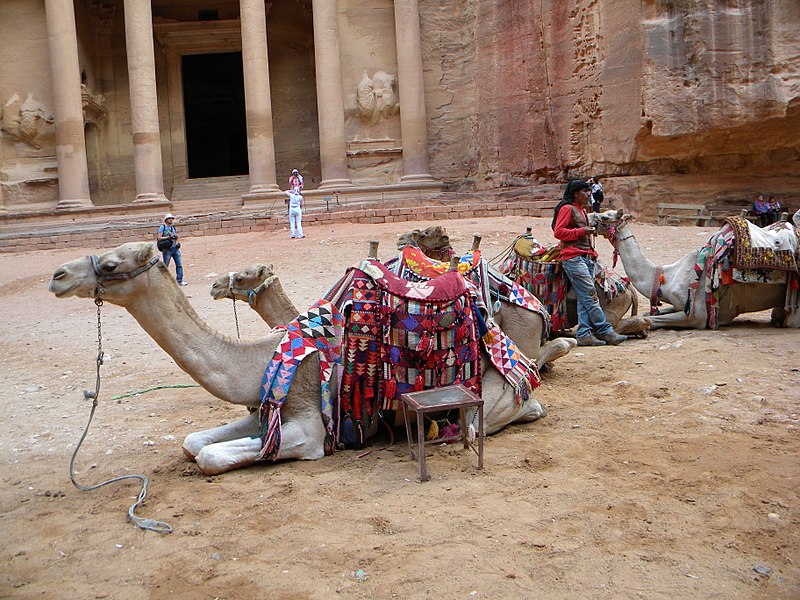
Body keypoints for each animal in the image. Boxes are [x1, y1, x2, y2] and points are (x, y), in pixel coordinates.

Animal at [588, 207, 800, 328]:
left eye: (605, 217)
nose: (589, 216)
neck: (665, 277)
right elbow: (649, 313)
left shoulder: (698, 315)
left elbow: (649, 320)